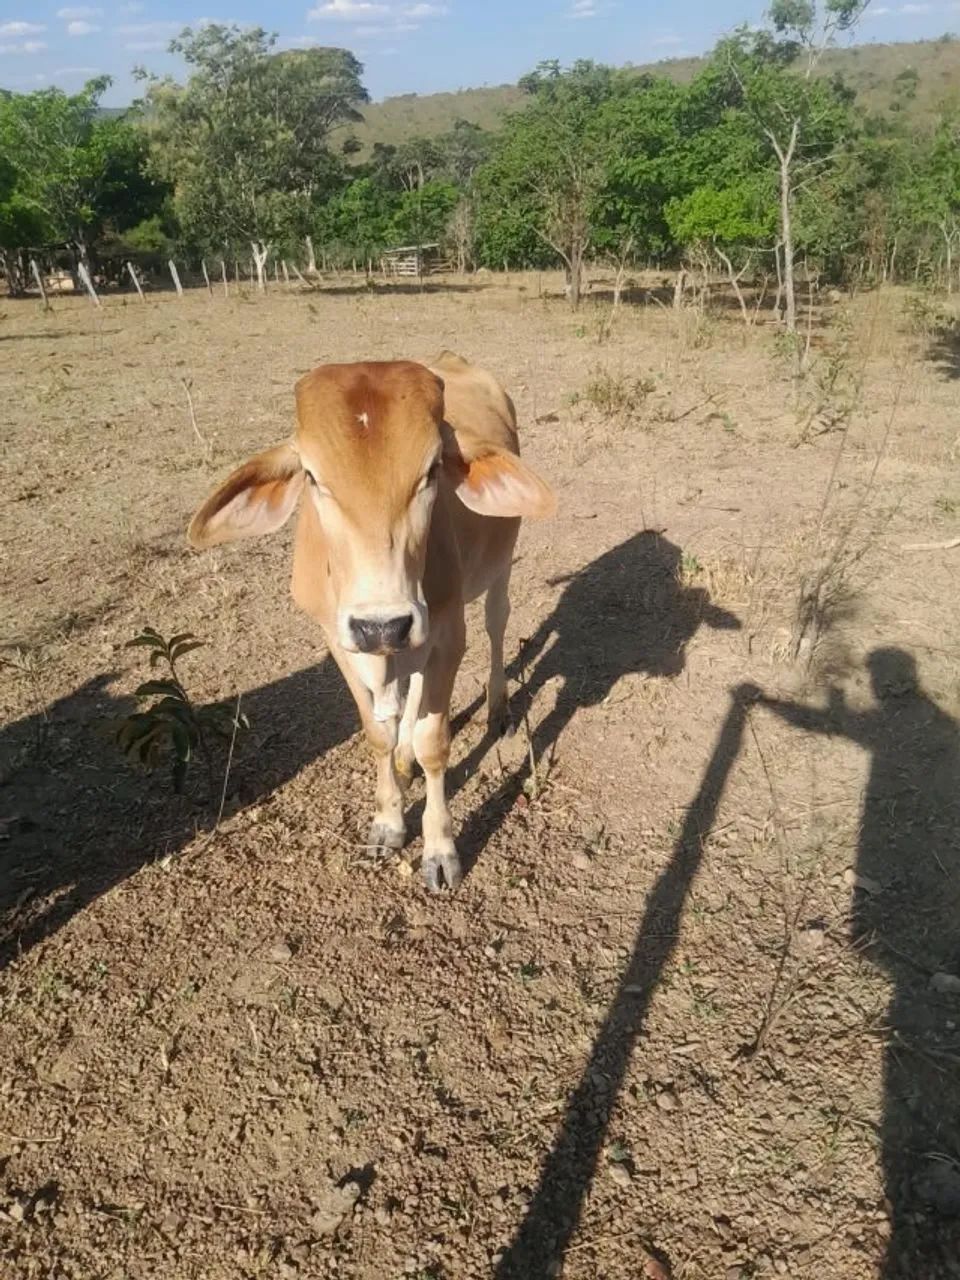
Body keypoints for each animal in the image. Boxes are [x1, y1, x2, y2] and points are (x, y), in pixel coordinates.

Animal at [187, 352, 556, 891]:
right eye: (312, 476)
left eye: (431, 471)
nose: (383, 624)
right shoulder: (340, 641)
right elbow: (378, 732)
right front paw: (388, 820)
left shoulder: (447, 635)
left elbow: (434, 743)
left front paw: (439, 849)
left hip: (498, 569)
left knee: (495, 626)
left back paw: (497, 707)